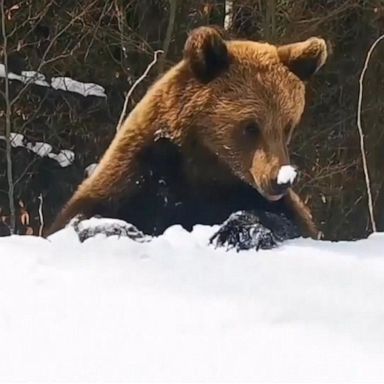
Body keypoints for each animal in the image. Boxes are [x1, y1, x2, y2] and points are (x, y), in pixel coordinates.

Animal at [45, 25, 328, 250]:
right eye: (250, 127)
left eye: (287, 125)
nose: (280, 180)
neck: (204, 167)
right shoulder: (139, 177)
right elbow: (82, 217)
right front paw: (121, 230)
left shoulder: (245, 193)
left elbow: (289, 222)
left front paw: (236, 231)